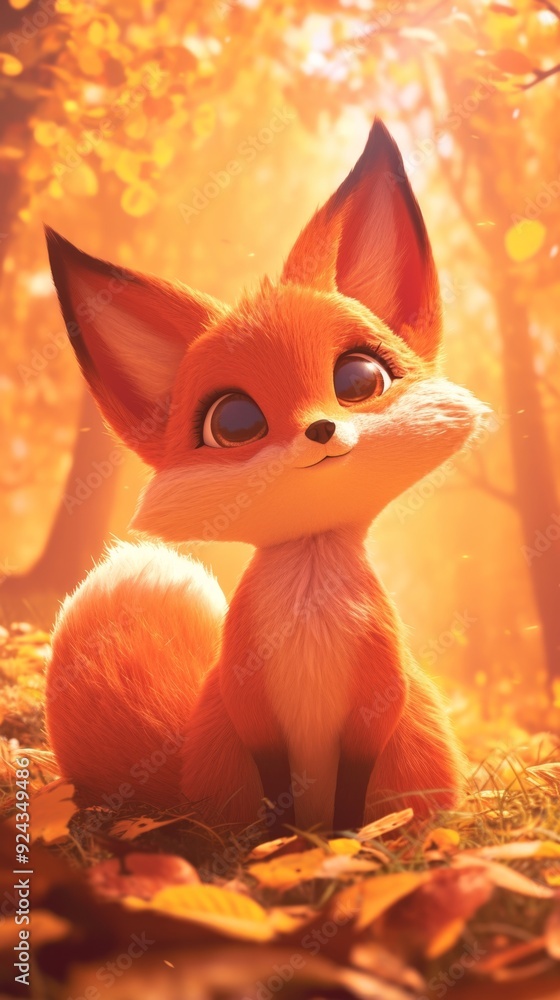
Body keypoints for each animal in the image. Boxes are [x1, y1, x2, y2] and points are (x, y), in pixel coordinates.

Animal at [44, 119, 489, 833]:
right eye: (236, 421)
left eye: (359, 380)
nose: (321, 430)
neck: (309, 599)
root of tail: (184, 773)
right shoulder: (245, 695)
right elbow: (276, 777)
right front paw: (283, 842)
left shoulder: (381, 688)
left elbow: (355, 781)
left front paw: (344, 840)